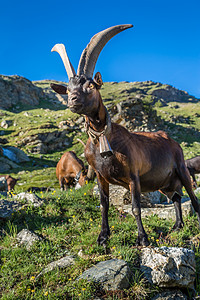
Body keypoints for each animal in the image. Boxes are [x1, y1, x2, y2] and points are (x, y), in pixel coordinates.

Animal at [50, 24, 200, 246]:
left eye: (91, 85)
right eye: (68, 90)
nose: (73, 101)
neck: (104, 139)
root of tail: (171, 141)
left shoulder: (133, 177)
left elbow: (136, 208)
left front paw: (143, 238)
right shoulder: (101, 177)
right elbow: (103, 205)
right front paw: (103, 237)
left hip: (182, 170)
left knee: (192, 197)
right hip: (163, 182)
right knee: (176, 198)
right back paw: (177, 226)